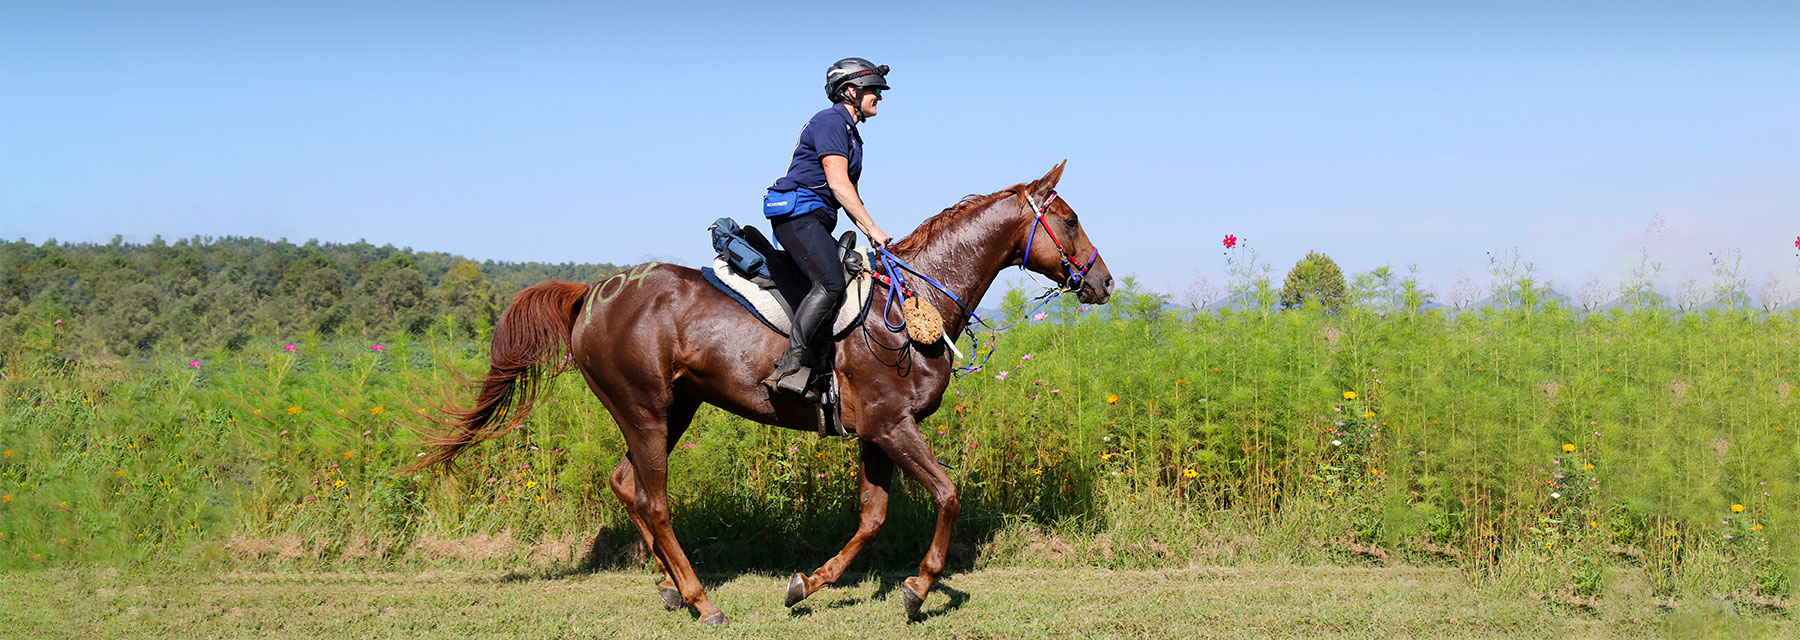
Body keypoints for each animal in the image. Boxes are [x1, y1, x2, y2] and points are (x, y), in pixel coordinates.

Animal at [408, 160, 1108, 625]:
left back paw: (669, 587)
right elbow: (948, 495)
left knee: (625, 484)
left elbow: (872, 518)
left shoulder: (877, 433)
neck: (913, 305)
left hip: (674, 409)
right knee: (654, 500)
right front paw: (918, 589)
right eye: (1070, 221)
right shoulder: (892, 424)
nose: (1102, 282)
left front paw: (808, 584)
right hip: (645, 410)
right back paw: (702, 601)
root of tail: (592, 293)